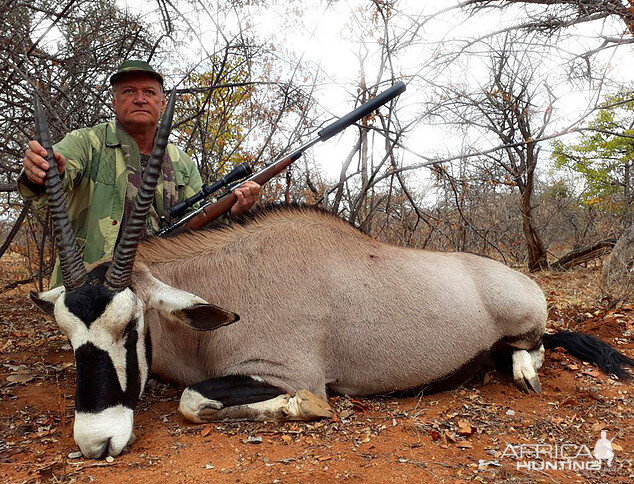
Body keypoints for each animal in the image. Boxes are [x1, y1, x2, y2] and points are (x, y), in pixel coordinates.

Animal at [29, 91, 632, 458]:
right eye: (68, 334)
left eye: (130, 325)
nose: (96, 442)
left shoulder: (285, 370)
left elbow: (193, 400)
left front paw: (302, 408)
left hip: (526, 320)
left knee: (537, 345)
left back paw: (524, 371)